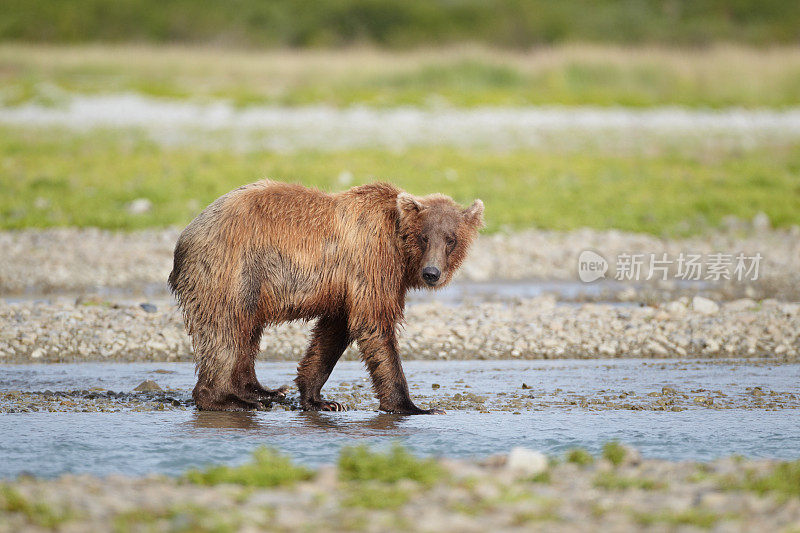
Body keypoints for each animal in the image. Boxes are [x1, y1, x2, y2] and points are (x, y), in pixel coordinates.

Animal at [167, 181, 488, 414]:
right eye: (425, 237)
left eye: (450, 239)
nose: (432, 272)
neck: (399, 249)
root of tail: (187, 233)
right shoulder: (372, 263)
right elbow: (375, 325)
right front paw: (413, 407)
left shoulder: (345, 289)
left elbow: (332, 334)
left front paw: (321, 400)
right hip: (231, 268)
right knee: (226, 329)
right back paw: (227, 399)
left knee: (247, 334)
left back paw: (264, 391)